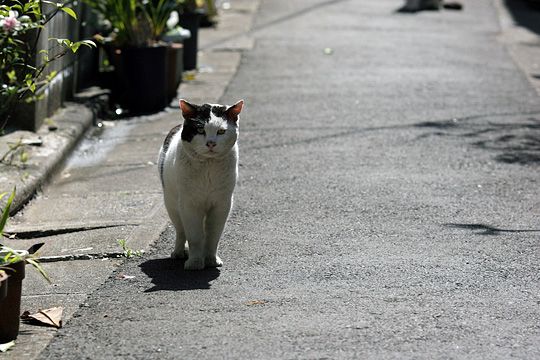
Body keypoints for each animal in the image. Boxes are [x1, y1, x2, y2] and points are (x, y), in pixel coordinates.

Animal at [158, 98, 245, 270]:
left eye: (221, 132)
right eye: (200, 129)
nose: (210, 143)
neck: (208, 168)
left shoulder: (222, 204)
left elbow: (213, 236)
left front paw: (211, 259)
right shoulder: (189, 205)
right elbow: (195, 237)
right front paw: (195, 262)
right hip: (172, 205)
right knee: (181, 231)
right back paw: (179, 252)